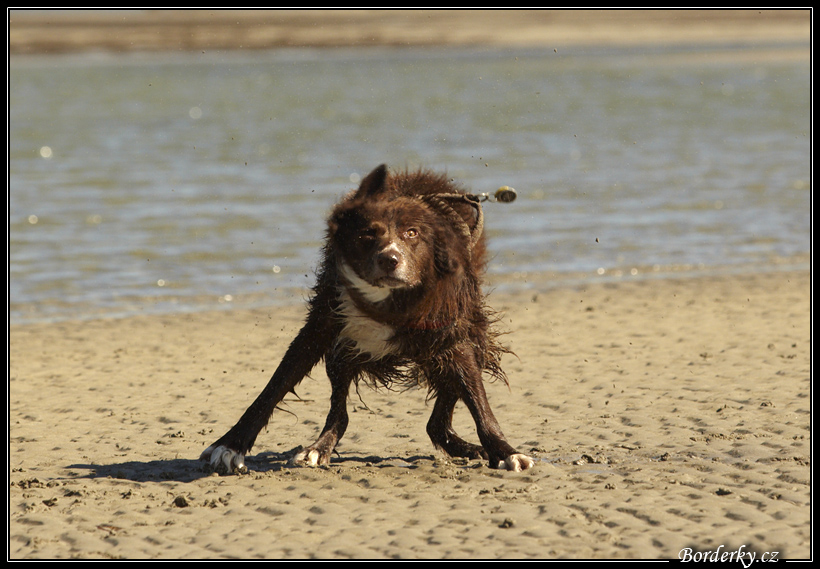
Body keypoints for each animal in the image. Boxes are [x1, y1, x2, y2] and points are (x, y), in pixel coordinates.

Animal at [201, 166, 536, 472]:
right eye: (367, 234)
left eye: (412, 233)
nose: (390, 259)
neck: (387, 301)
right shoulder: (324, 323)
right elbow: (275, 386)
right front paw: (230, 445)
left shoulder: (451, 331)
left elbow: (478, 401)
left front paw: (505, 451)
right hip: (343, 352)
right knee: (342, 411)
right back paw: (318, 448)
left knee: (439, 417)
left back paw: (471, 449)